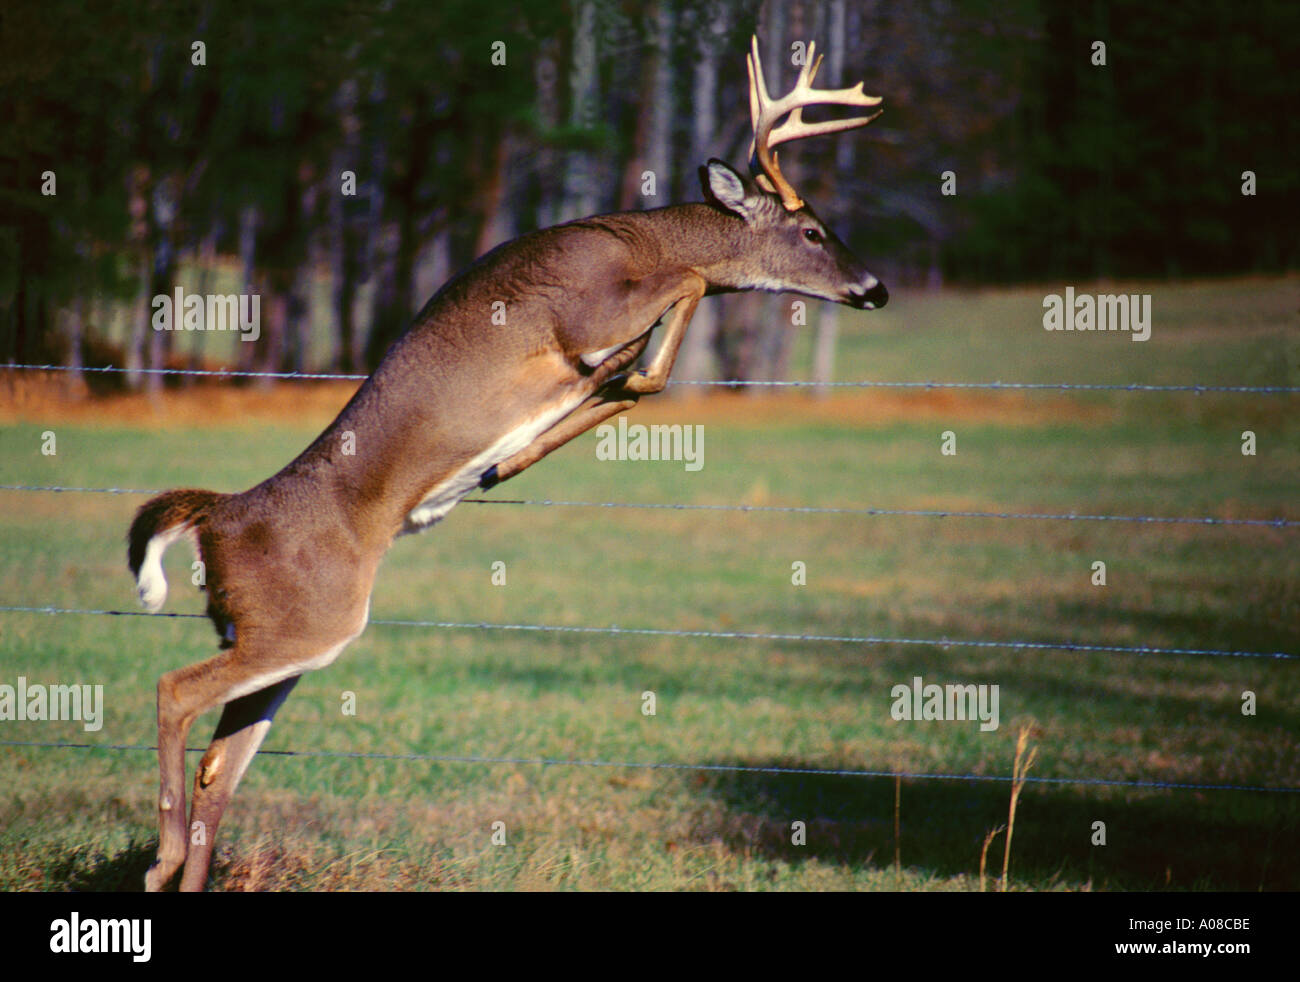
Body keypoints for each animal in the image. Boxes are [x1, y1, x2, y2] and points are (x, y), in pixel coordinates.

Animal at [129, 38, 883, 889]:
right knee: (173, 692)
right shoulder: (583, 313)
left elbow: (637, 371)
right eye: (814, 230)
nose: (877, 287)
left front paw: (526, 447)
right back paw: (158, 858)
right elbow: (678, 301)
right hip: (303, 622)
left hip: (284, 636)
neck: (642, 240)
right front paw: (560, 420)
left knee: (219, 770)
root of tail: (215, 514)